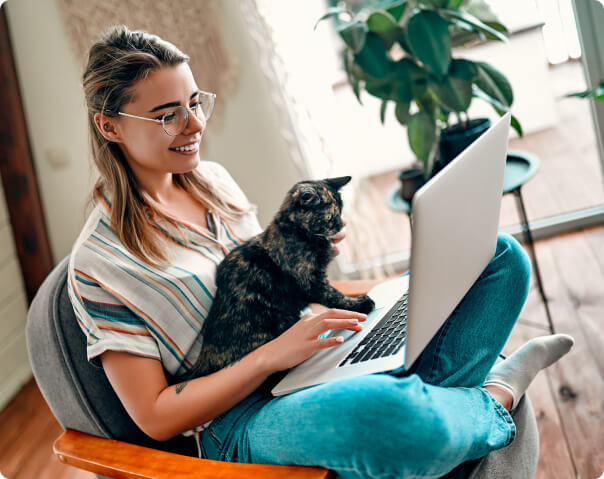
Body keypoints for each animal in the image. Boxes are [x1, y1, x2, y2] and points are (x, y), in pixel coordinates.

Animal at [184, 176, 372, 386]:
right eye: (331, 217)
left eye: (341, 211)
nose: (340, 225)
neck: (296, 232)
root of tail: (205, 355)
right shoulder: (310, 281)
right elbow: (334, 295)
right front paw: (359, 304)